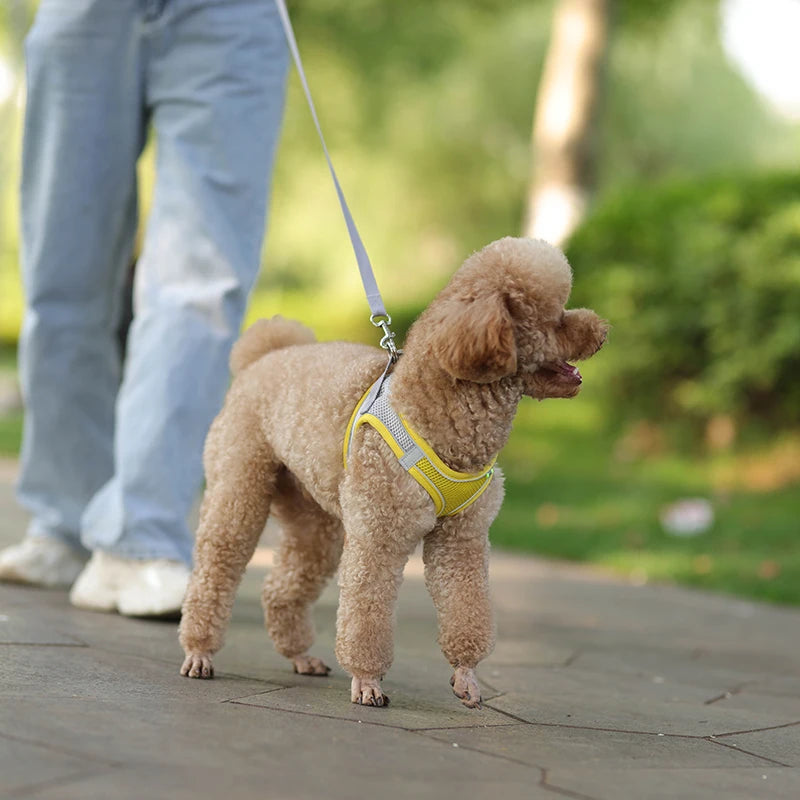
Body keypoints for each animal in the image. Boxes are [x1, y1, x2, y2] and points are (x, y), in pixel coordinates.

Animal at [180, 236, 608, 708]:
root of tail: (264, 356)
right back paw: (199, 651)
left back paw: (299, 655)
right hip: (239, 485)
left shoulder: (462, 539)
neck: (441, 408)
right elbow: (367, 611)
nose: (603, 330)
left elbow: (466, 607)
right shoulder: (379, 535)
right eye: (556, 318)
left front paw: (466, 675)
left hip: (314, 517)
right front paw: (367, 680)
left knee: (283, 584)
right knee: (218, 564)